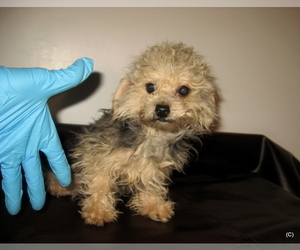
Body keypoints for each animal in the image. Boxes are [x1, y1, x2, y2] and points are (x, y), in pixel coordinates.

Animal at [45, 42, 218, 226]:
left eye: (184, 90)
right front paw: (98, 211)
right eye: (150, 87)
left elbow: (150, 186)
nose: (162, 109)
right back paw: (59, 186)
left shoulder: (153, 168)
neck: (152, 135)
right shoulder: (97, 156)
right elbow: (100, 183)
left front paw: (153, 206)